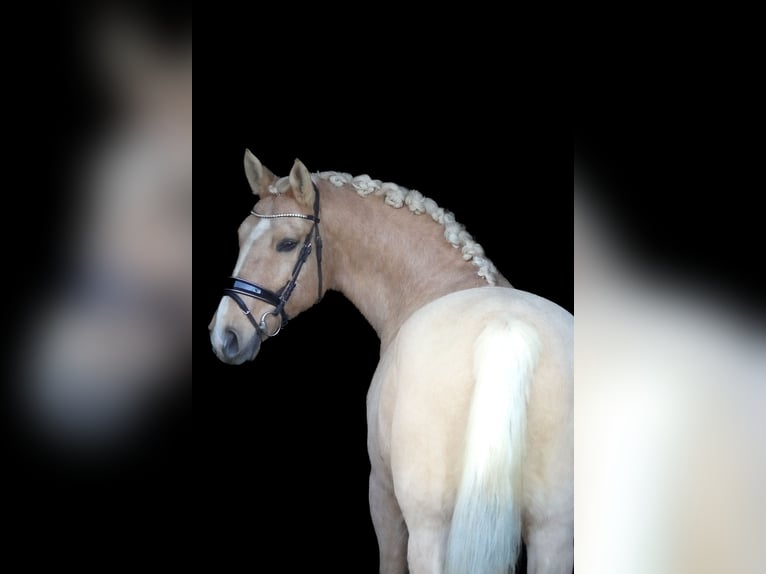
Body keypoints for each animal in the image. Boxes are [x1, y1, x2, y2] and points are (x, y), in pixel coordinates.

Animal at [209, 151, 573, 574]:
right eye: (240, 235)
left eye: (287, 243)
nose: (225, 336)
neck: (435, 285)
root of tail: (507, 331)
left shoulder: (382, 494)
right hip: (553, 535)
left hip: (430, 529)